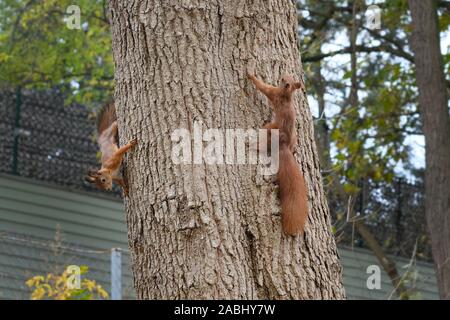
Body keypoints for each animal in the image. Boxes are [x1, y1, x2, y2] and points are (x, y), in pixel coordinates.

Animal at [246, 74, 310, 236]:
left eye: (285, 80)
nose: (282, 77)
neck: (287, 95)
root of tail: (284, 146)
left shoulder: (273, 92)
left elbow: (262, 86)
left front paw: (250, 74)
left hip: (269, 129)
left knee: (264, 142)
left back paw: (253, 147)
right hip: (293, 138)